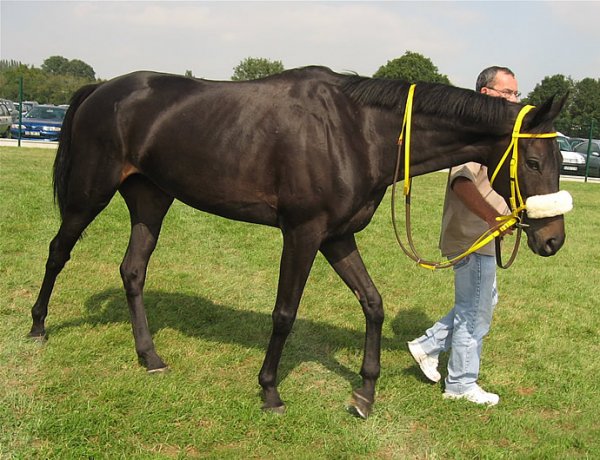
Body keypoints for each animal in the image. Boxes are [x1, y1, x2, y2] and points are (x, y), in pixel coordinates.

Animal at [30, 66, 568, 418]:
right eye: (533, 162)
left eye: (563, 161)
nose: (553, 240)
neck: (358, 131)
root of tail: (102, 89)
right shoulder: (303, 233)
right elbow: (284, 313)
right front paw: (270, 391)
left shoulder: (338, 237)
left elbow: (373, 303)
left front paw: (365, 393)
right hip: (89, 193)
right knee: (59, 251)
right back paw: (38, 327)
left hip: (151, 198)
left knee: (133, 270)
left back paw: (150, 357)